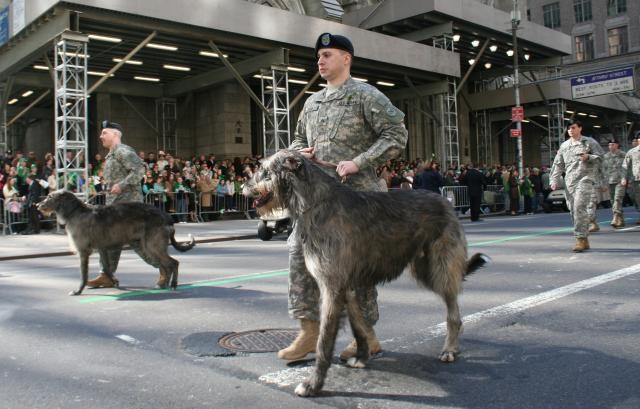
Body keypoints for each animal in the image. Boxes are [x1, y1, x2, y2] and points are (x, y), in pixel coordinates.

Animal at [39, 190, 195, 294]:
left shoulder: (83, 251)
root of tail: (167, 216)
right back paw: (164, 283)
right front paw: (114, 282)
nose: (37, 205)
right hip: (147, 245)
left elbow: (84, 274)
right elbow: (107, 268)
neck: (75, 212)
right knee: (164, 265)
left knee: (173, 263)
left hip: (153, 245)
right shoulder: (102, 248)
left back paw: (173, 284)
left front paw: (78, 291)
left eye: (50, 196)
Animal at [242, 149, 488, 396]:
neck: (315, 202)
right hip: (424, 269)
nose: (243, 186)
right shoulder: (347, 285)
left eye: (265, 170)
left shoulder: (331, 286)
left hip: (440, 268)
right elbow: (358, 326)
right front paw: (361, 357)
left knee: (453, 311)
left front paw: (313, 384)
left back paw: (450, 349)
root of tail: (445, 201)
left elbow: (324, 340)